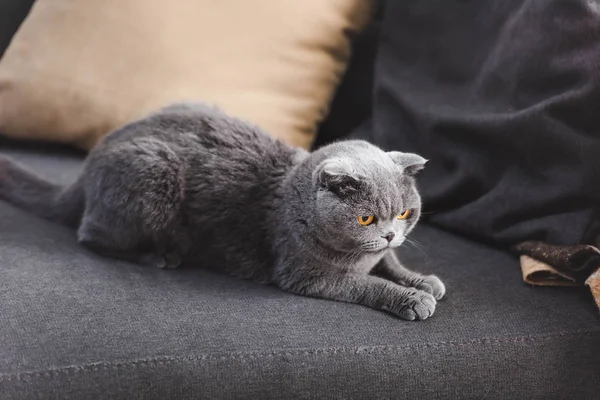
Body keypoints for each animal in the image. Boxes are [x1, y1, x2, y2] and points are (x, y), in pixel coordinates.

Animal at [1, 101, 446, 320]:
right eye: (366, 217)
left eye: (404, 214)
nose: (390, 233)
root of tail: (91, 160)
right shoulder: (305, 275)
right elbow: (367, 283)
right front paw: (413, 299)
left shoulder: (381, 253)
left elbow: (389, 263)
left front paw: (424, 281)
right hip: (152, 174)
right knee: (91, 235)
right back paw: (158, 255)